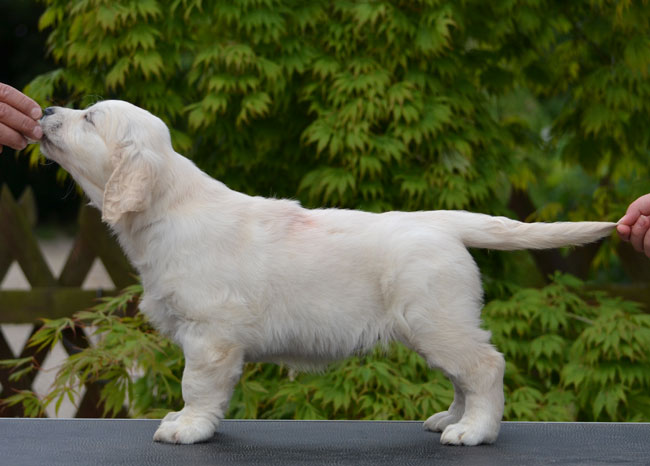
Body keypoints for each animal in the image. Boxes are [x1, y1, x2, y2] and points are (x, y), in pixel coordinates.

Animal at [38, 101, 616, 444]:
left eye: (90, 119)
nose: (45, 108)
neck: (169, 208)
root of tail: (441, 221)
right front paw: (185, 423)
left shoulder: (210, 336)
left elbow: (195, 386)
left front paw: (188, 427)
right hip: (439, 325)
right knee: (464, 375)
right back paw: (451, 419)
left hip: (435, 320)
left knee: (485, 367)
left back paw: (474, 431)